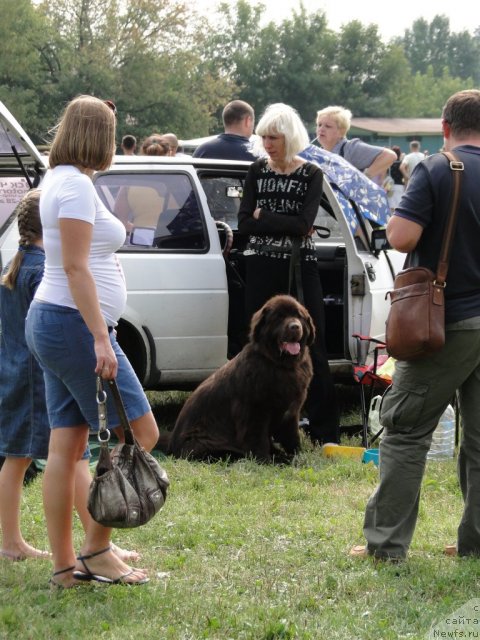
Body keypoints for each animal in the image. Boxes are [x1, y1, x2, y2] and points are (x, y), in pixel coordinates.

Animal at [158, 292, 316, 462]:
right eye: (279, 317)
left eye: (298, 316)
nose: (295, 326)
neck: (282, 366)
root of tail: (171, 444)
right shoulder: (254, 412)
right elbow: (258, 442)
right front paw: (267, 461)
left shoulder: (291, 413)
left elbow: (292, 439)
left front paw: (298, 456)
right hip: (212, 445)